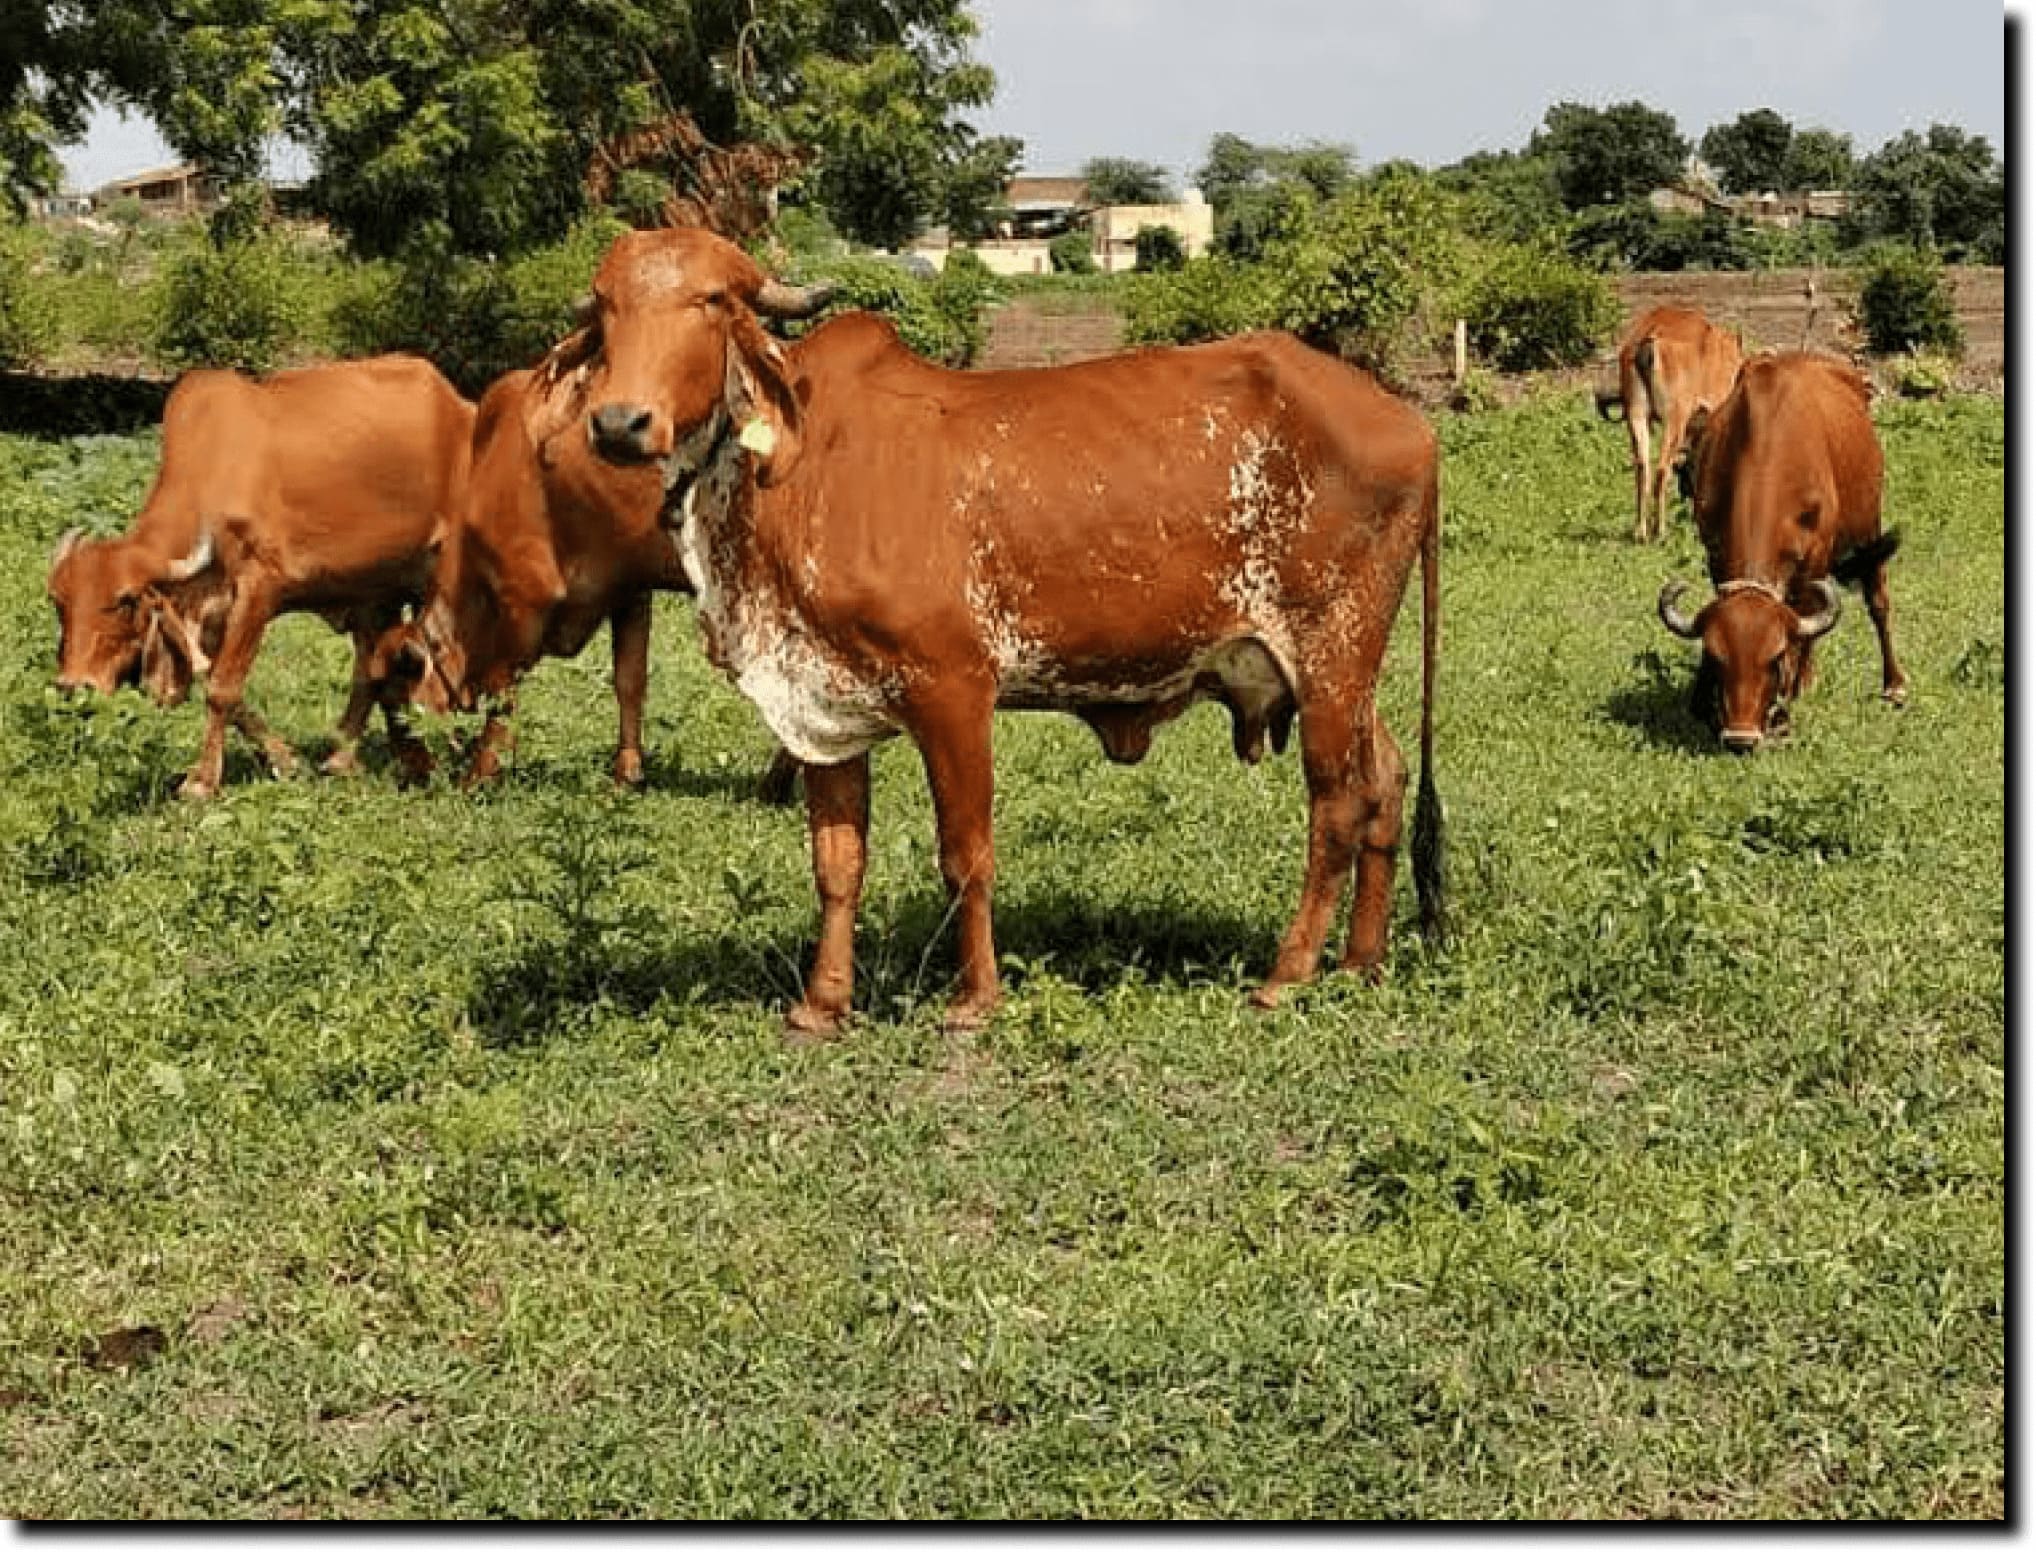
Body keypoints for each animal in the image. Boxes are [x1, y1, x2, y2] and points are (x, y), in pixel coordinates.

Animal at [48, 355, 473, 798]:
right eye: (57, 602)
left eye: (126, 599)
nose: (73, 685)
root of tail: (462, 407)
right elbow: (222, 687)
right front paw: (284, 760)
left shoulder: (259, 591)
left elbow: (222, 689)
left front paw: (201, 782)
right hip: (372, 593)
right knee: (371, 672)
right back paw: (345, 759)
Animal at [379, 364, 803, 799]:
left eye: (394, 690)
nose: (408, 774)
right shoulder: (629, 588)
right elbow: (629, 680)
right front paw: (625, 777)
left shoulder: (527, 594)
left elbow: (504, 692)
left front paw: (477, 776)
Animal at [532, 226, 1442, 1035]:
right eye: (605, 308)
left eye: (712, 301)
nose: (619, 423)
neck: (789, 469)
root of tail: (1413, 425)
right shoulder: (824, 704)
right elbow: (837, 863)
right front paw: (824, 1005)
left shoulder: (954, 690)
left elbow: (964, 855)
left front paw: (974, 1000)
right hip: (1331, 672)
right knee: (1386, 781)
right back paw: (1360, 963)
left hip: (1330, 654)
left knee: (1337, 804)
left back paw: (1288, 974)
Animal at [1600, 306, 1745, 543]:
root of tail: (1649, 340)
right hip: (1674, 420)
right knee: (1661, 470)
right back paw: (1660, 532)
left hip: (1637, 416)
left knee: (1643, 467)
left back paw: (1641, 531)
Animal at [1656, 352, 1905, 752]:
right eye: (1719, 658)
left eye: (1773, 658)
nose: (1741, 737)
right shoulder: (1715, 552)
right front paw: (1704, 702)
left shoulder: (1815, 560)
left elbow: (1804, 628)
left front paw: (1784, 709)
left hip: (1870, 529)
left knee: (1877, 602)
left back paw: (1892, 685)